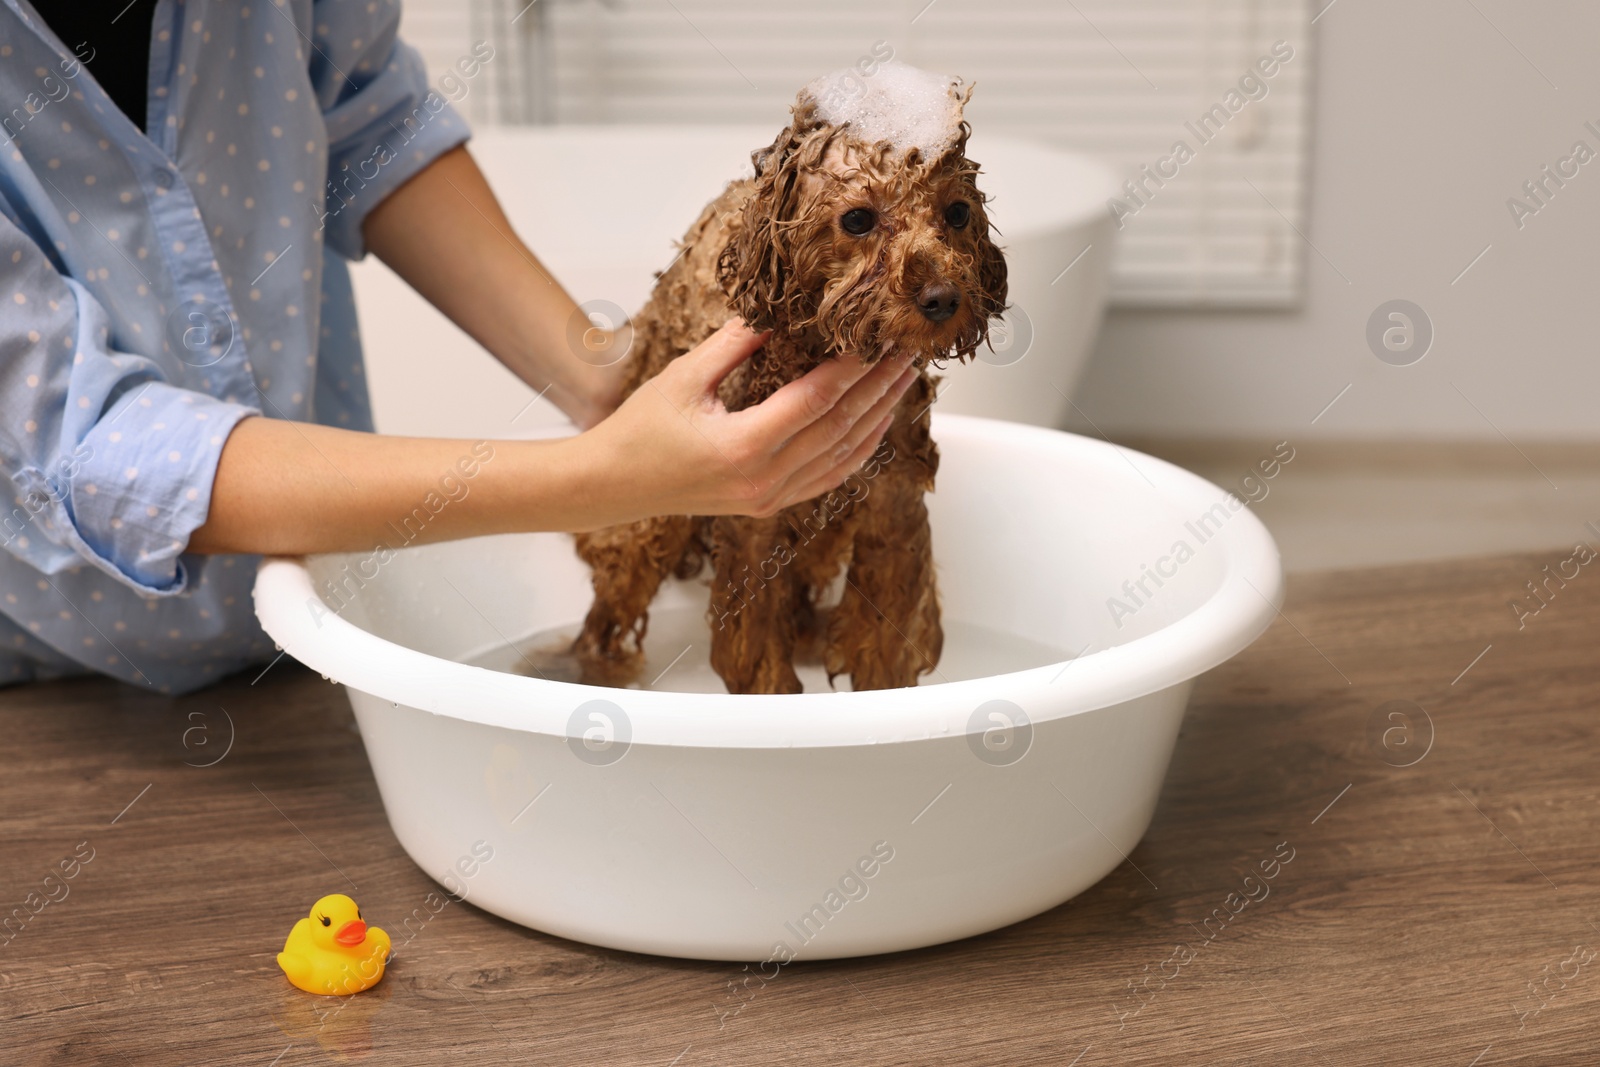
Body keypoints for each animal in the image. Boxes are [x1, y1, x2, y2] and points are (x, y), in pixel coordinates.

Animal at [569, 68, 1004, 700]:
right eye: (858, 219)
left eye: (957, 213)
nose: (942, 298)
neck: (827, 349)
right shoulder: (753, 522)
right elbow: (756, 658)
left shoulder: (895, 508)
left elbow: (885, 649)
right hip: (650, 506)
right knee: (614, 596)